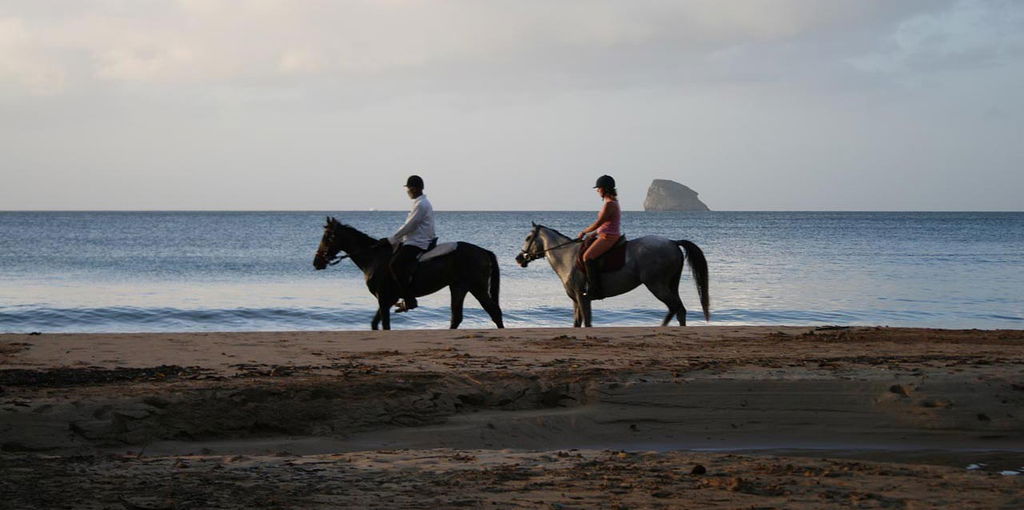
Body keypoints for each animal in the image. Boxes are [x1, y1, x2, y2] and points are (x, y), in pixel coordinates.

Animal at [311, 218, 503, 329]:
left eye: (327, 237)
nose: (317, 262)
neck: (373, 258)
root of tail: (483, 251)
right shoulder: (388, 300)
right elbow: (375, 324)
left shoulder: (383, 299)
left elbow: (385, 325)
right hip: (458, 287)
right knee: (457, 317)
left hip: (477, 287)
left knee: (494, 311)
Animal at [516, 223, 708, 327]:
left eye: (527, 238)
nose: (519, 258)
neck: (567, 257)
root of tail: (673, 243)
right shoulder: (576, 300)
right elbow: (577, 323)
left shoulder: (582, 297)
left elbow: (587, 322)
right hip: (670, 285)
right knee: (679, 310)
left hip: (657, 285)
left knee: (676, 308)